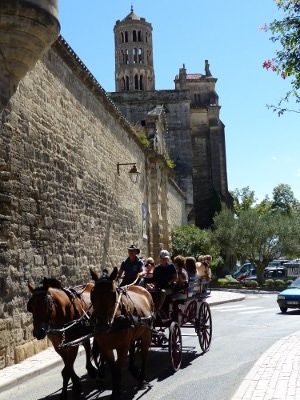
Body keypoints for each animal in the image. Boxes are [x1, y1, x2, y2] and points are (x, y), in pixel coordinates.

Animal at [90, 266, 154, 400]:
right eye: (93, 294)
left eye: (113, 293)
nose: (102, 326)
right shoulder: (105, 347)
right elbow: (113, 370)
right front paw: (116, 391)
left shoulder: (122, 346)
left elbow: (118, 369)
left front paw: (117, 392)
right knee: (133, 349)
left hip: (147, 333)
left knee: (144, 355)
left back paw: (141, 380)